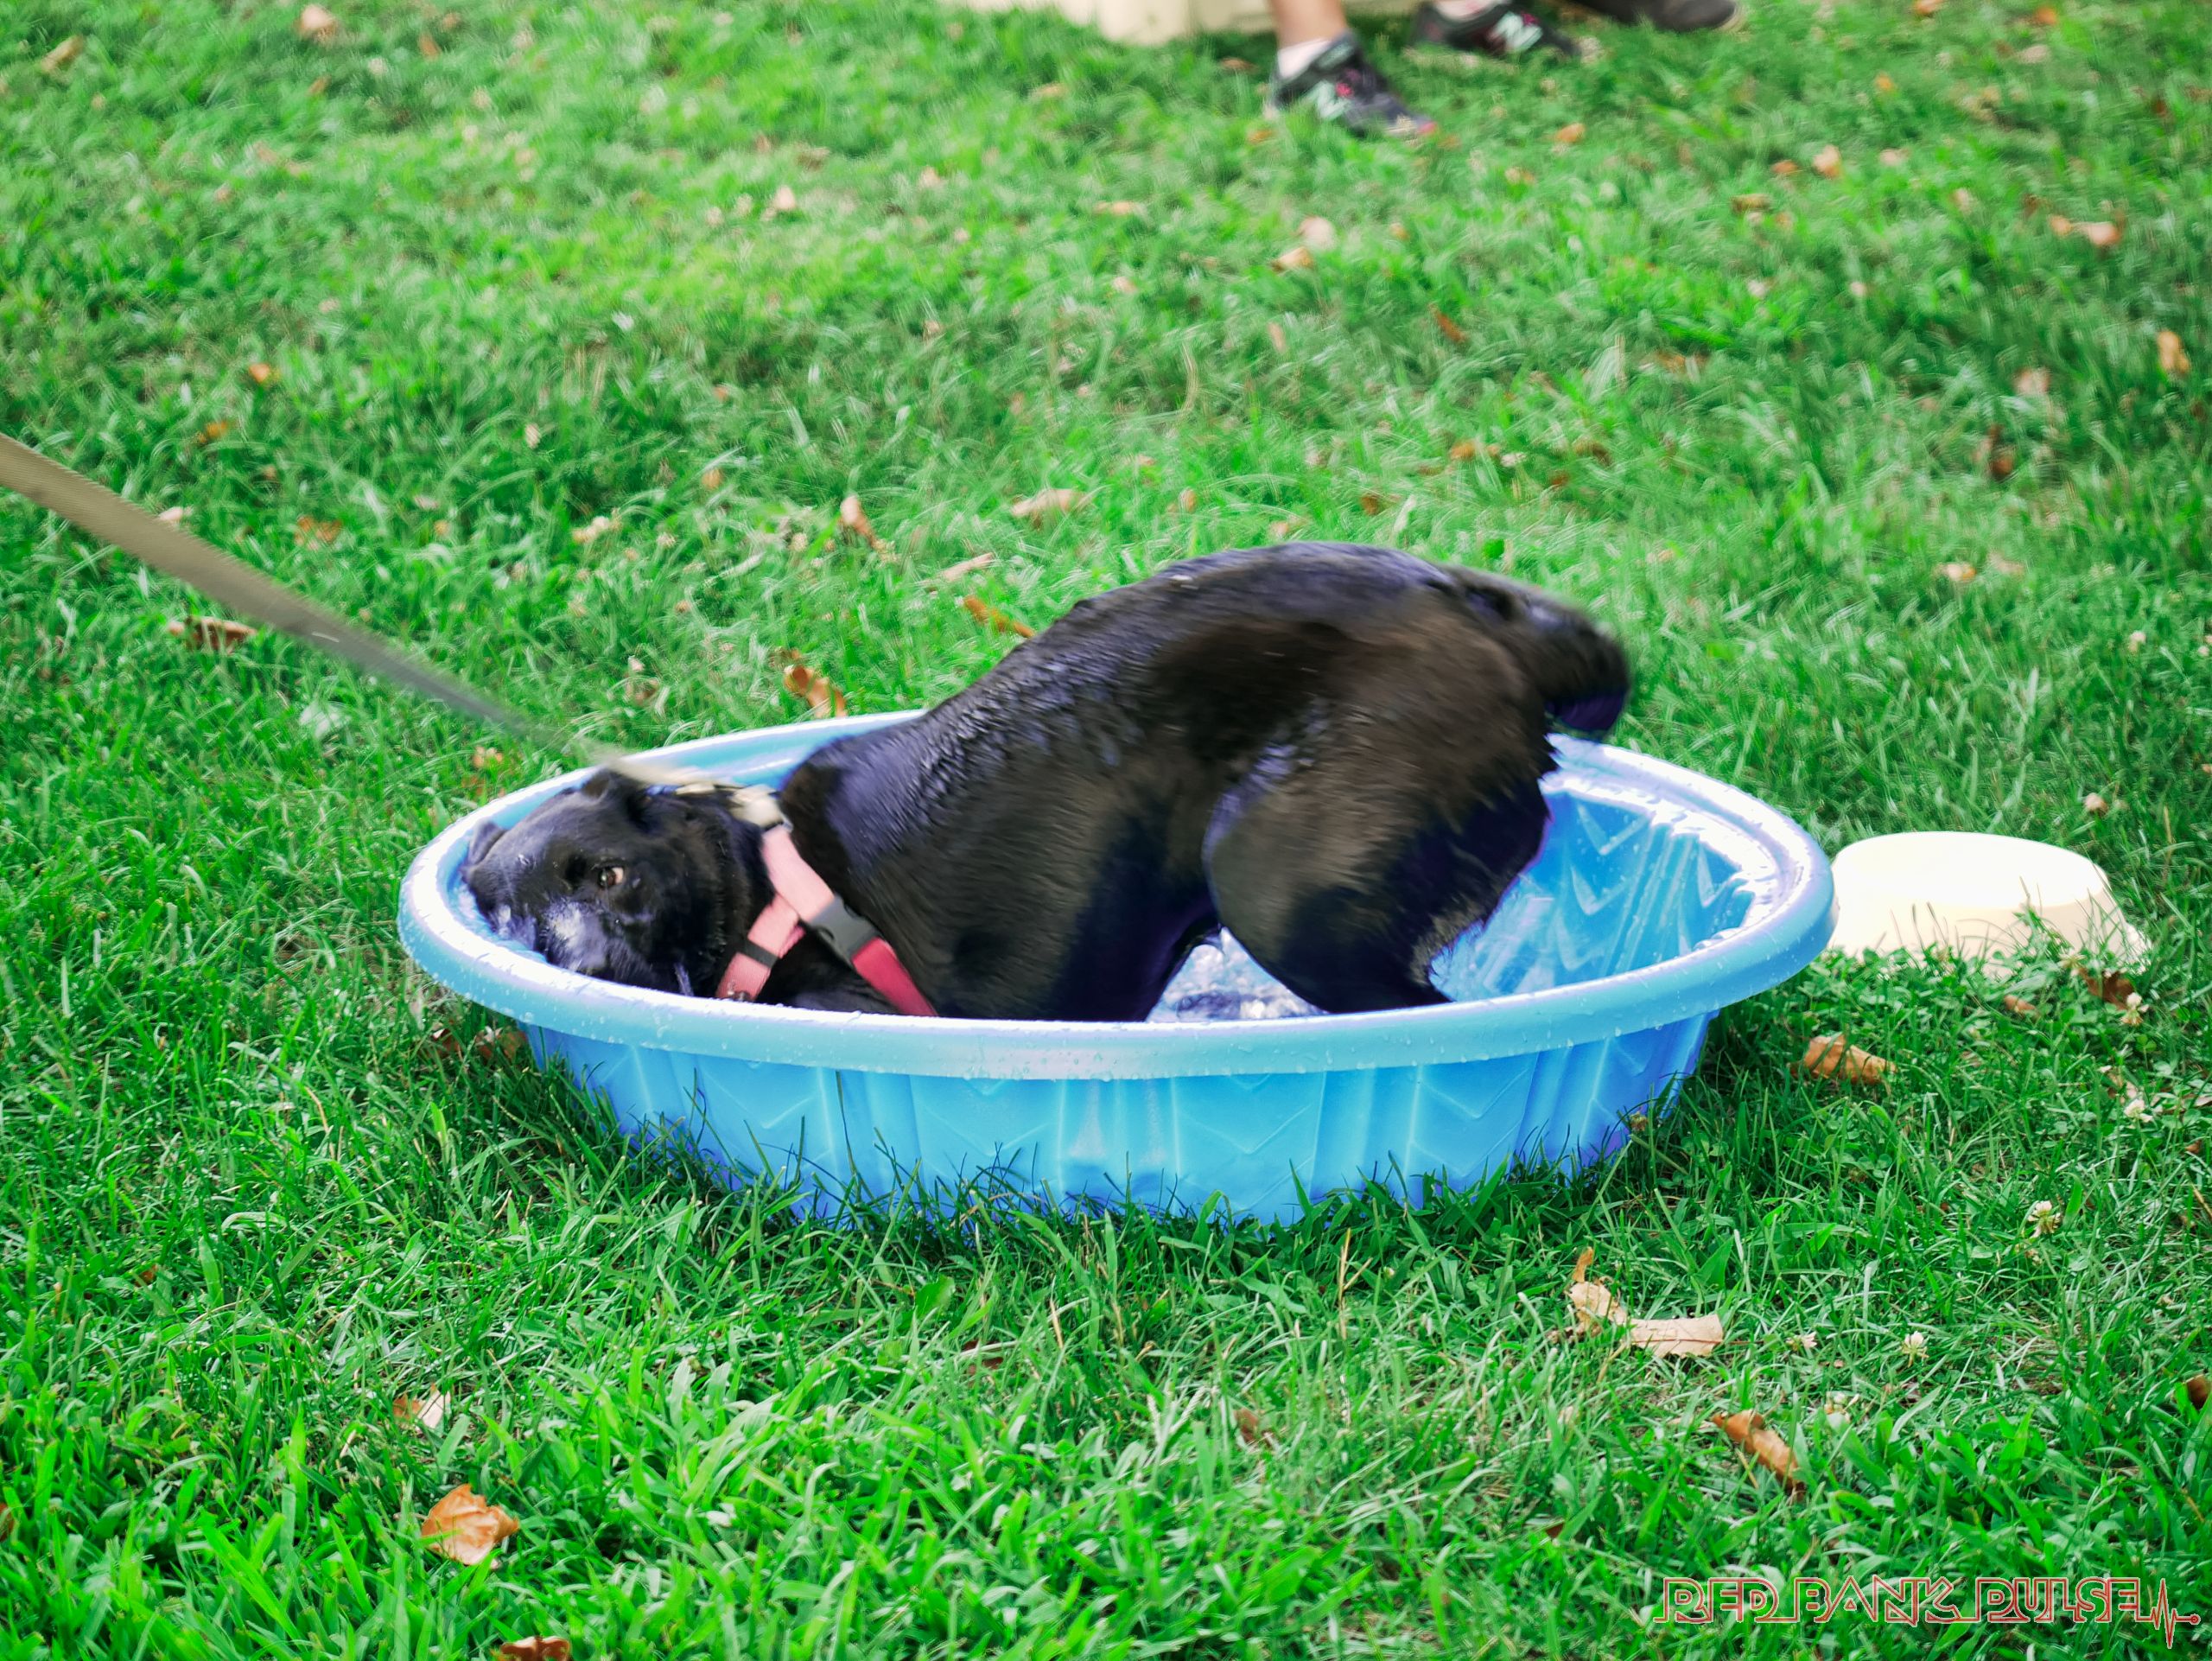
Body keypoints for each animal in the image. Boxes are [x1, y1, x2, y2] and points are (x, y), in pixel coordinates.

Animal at [462, 543, 1628, 1020]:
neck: (762, 892)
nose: (593, 969)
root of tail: (1502, 635)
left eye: (609, 876)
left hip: (1284, 886)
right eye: (510, 919)